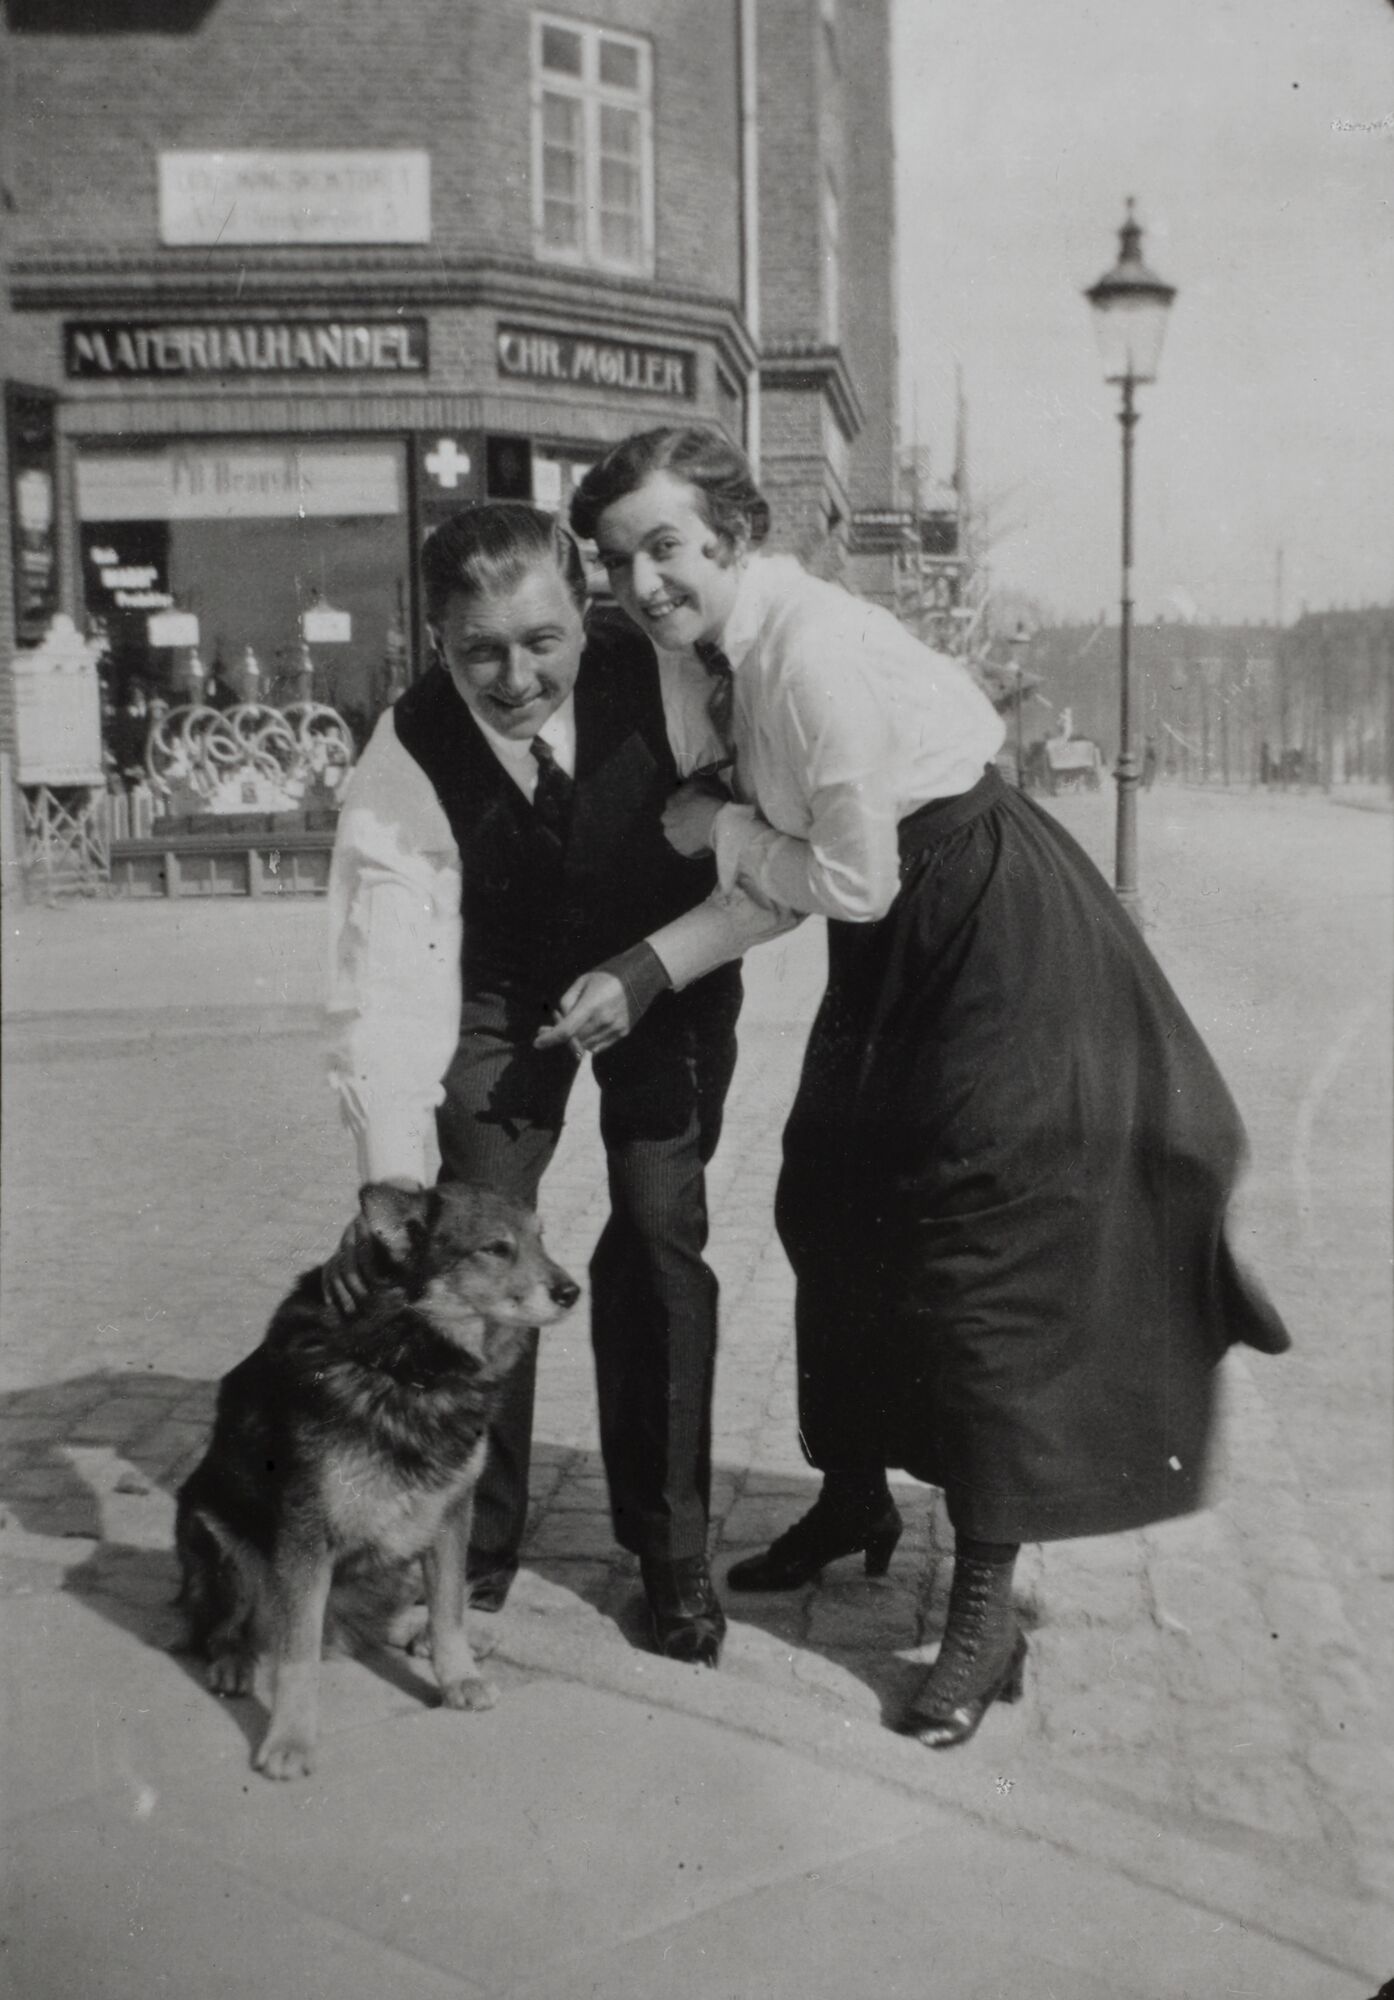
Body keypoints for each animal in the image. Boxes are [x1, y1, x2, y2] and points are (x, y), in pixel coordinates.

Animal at [175, 1180, 579, 1780]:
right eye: (495, 1248)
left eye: (540, 1238)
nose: (572, 1291)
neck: (409, 1362)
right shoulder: (305, 1529)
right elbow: (297, 1655)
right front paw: (290, 1740)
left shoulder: (450, 1511)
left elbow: (449, 1609)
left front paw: (458, 1676)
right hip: (220, 1539)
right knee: (221, 1627)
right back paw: (233, 1662)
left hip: (398, 1555)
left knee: (385, 1617)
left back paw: (420, 1637)